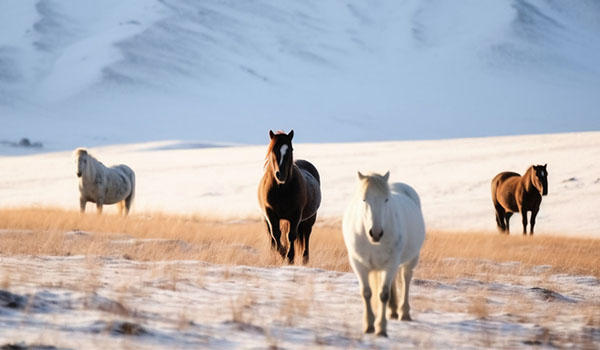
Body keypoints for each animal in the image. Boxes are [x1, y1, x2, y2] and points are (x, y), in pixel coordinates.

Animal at [258, 130, 324, 264]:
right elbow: (276, 234)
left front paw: (290, 257)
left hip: (310, 218)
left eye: (290, 149)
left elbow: (291, 235)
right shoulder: (270, 214)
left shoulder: (295, 215)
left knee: (306, 234)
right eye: (273, 149)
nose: (281, 175)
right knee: (271, 236)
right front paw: (282, 252)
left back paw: (305, 258)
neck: (281, 190)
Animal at [342, 172, 426, 336]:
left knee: (406, 278)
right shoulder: (358, 264)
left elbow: (383, 295)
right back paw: (393, 311)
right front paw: (369, 325)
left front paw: (381, 328)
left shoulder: (391, 263)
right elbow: (366, 293)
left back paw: (404, 313)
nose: (376, 233)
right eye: (364, 199)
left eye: (386, 199)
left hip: (411, 259)